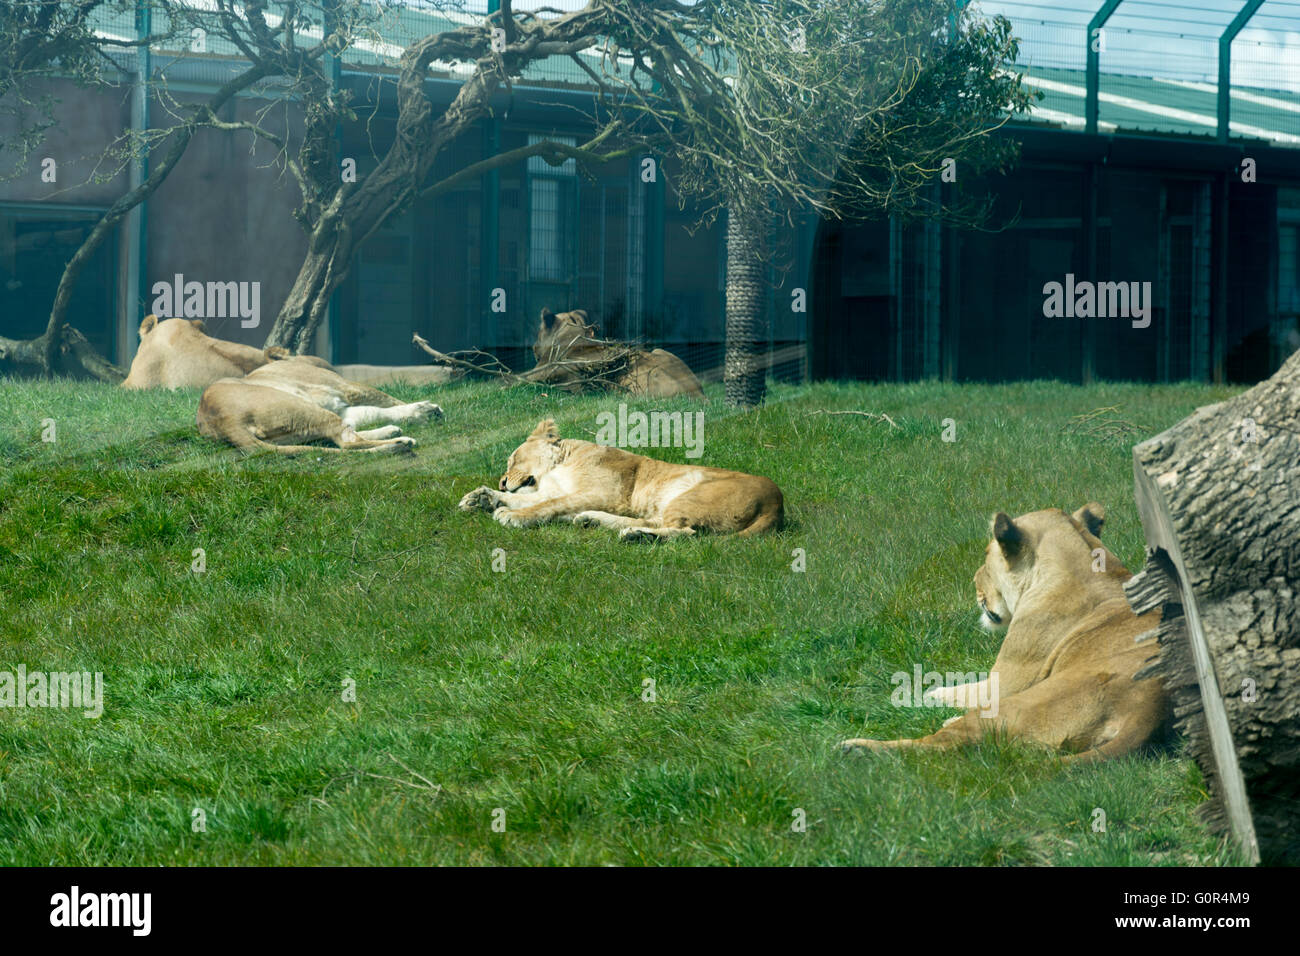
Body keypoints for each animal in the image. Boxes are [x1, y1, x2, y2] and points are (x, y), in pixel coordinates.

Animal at [197, 356, 442, 455]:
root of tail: (226, 423)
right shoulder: (347, 388)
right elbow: (388, 400)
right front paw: (426, 409)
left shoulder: (341, 404)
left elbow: (377, 411)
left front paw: (423, 413)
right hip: (304, 408)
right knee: (347, 443)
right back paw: (401, 442)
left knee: (345, 435)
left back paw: (394, 434)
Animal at [457, 418, 782, 540]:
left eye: (512, 459)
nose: (501, 481)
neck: (559, 465)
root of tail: (776, 502)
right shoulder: (555, 490)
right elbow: (531, 499)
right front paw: (481, 497)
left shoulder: (606, 494)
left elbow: (547, 505)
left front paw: (513, 516)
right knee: (656, 522)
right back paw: (592, 521)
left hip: (689, 498)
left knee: (685, 532)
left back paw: (636, 536)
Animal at [840, 504, 1169, 763]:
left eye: (987, 554)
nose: (973, 580)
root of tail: (1149, 706)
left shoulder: (1000, 685)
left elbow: (940, 692)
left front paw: (917, 693)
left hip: (1013, 705)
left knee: (941, 743)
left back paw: (857, 749)